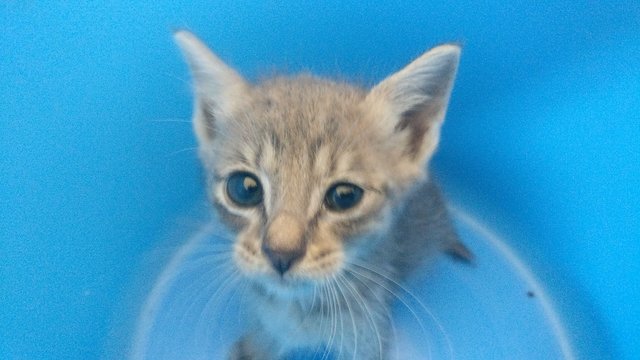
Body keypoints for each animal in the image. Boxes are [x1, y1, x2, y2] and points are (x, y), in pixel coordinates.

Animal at [172, 29, 468, 358]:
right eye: (244, 189)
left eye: (344, 196)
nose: (281, 254)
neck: (297, 310)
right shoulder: (263, 332)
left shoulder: (369, 339)